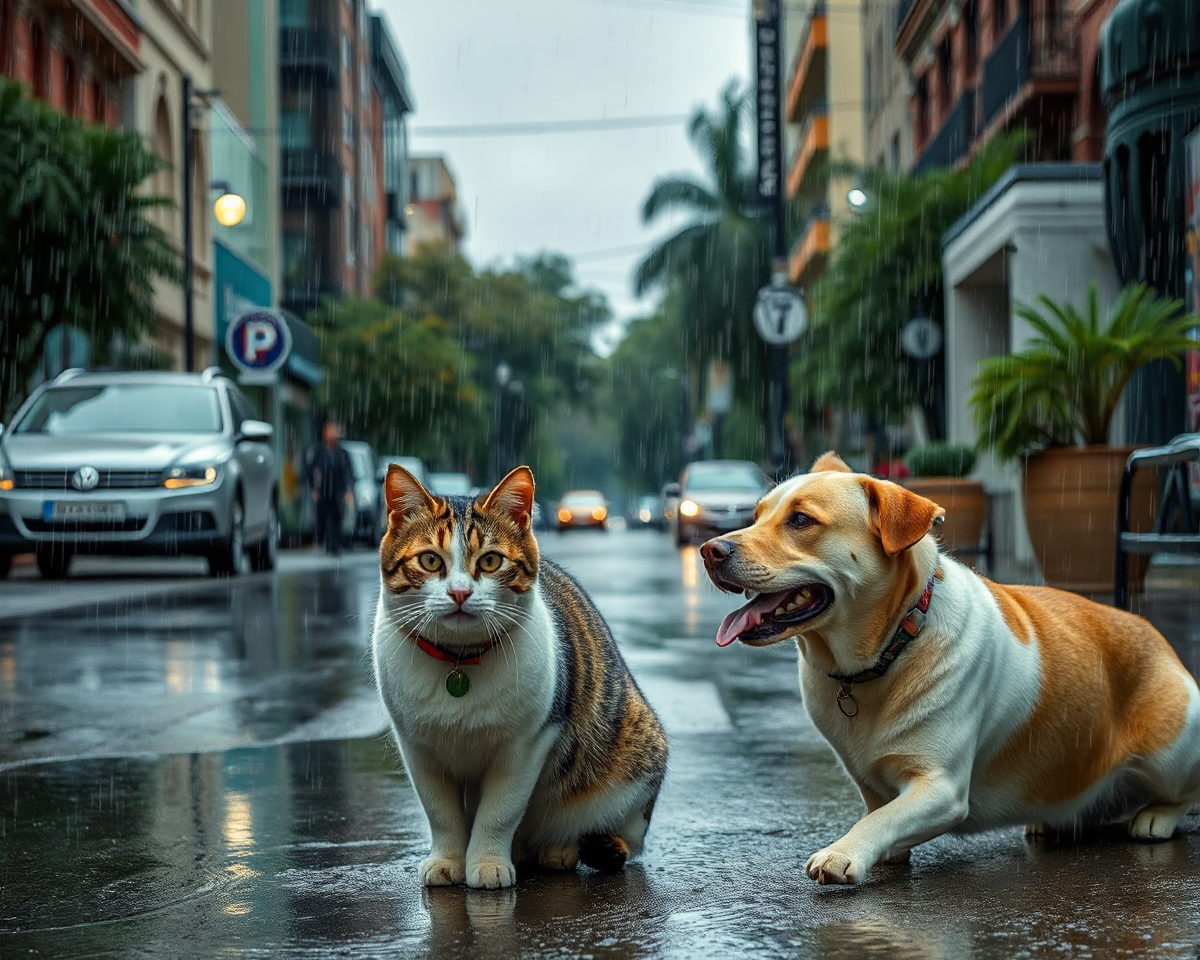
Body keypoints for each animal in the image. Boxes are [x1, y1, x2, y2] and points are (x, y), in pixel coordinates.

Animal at [369, 460, 672, 888]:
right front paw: (448, 859)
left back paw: (567, 848)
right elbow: (440, 812)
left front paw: (487, 863)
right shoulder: (416, 746)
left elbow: (500, 810)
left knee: (620, 836)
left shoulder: (528, 743)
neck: (460, 662)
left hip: (636, 753)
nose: (459, 593)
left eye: (490, 561)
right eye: (429, 561)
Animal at [700, 451, 1200, 883]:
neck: (889, 648)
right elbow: (879, 809)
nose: (709, 549)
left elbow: (880, 819)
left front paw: (844, 852)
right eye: (757, 515)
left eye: (801, 520)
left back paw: (1155, 817)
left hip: (1169, 754)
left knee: (1184, 794)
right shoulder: (866, 778)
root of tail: (1163, 644)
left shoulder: (942, 788)